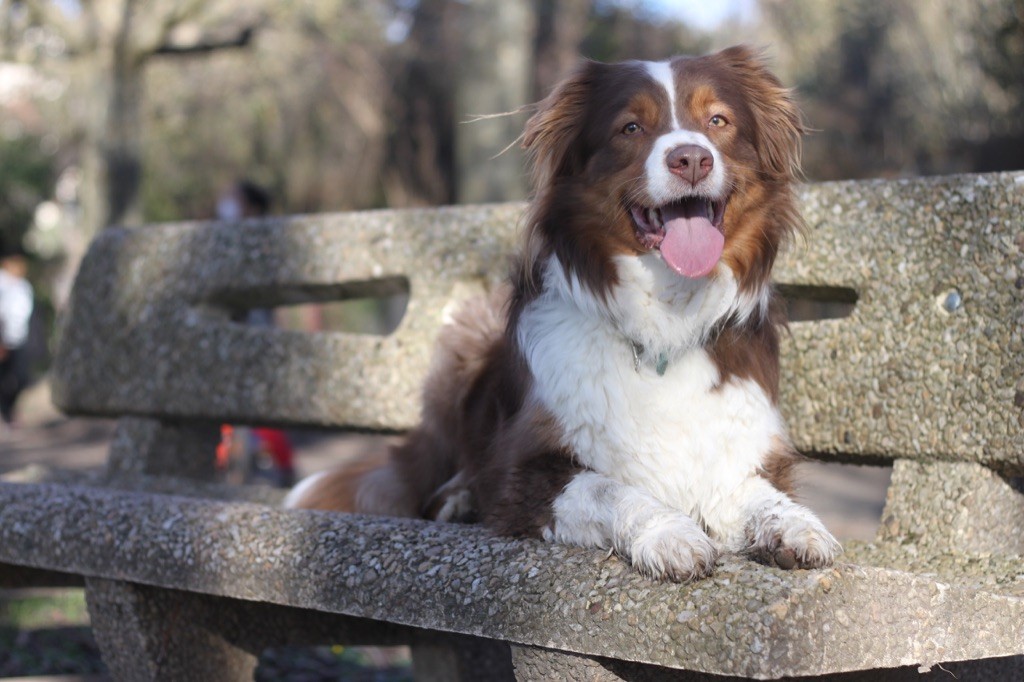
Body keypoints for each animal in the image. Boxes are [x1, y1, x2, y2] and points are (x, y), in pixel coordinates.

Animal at [286, 46, 839, 577]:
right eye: (631, 127)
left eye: (718, 120)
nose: (691, 159)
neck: (663, 322)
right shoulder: (525, 474)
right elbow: (611, 488)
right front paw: (669, 533)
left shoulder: (740, 452)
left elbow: (762, 495)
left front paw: (797, 525)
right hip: (465, 338)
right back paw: (458, 496)